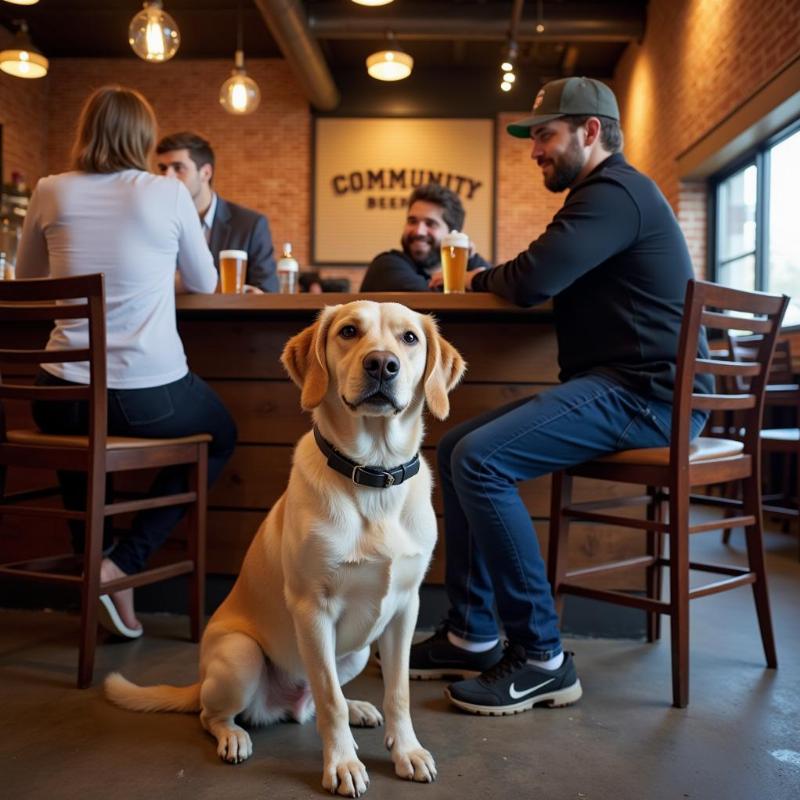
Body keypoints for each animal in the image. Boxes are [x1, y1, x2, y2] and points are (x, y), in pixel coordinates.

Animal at [109, 304, 466, 796]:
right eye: (348, 331)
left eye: (409, 338)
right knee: (215, 713)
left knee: (314, 700)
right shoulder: (312, 609)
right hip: (240, 657)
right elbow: (330, 700)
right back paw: (234, 736)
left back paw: (358, 708)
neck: (373, 473)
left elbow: (397, 693)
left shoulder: (404, 610)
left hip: (356, 652)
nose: (382, 364)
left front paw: (406, 750)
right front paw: (342, 764)